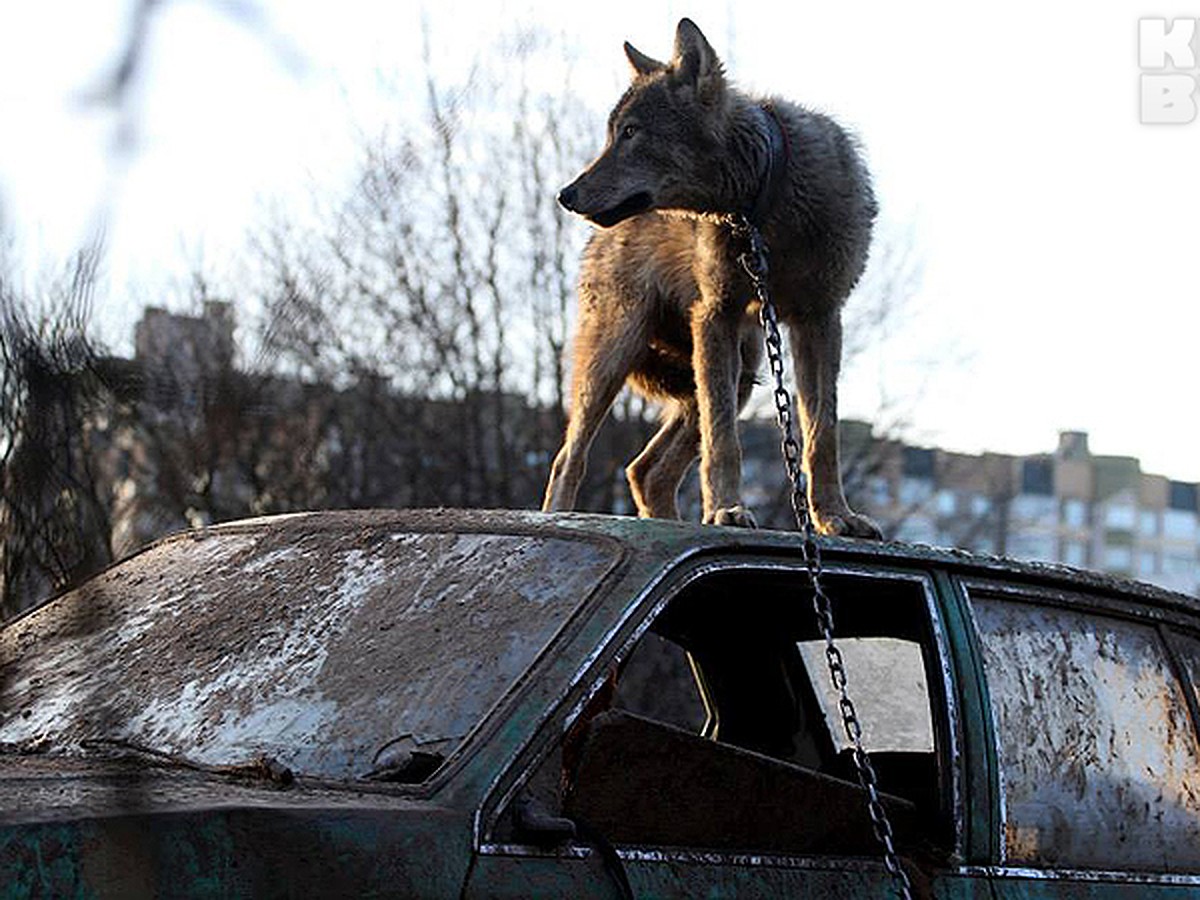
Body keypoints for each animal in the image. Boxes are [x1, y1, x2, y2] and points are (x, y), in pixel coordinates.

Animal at [544, 19, 883, 542]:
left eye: (630, 132)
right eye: (612, 133)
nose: (566, 194)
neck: (763, 206)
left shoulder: (820, 319)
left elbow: (821, 433)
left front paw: (835, 517)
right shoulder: (716, 316)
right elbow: (726, 440)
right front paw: (726, 510)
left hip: (739, 371)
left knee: (645, 471)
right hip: (616, 355)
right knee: (569, 457)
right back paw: (559, 518)